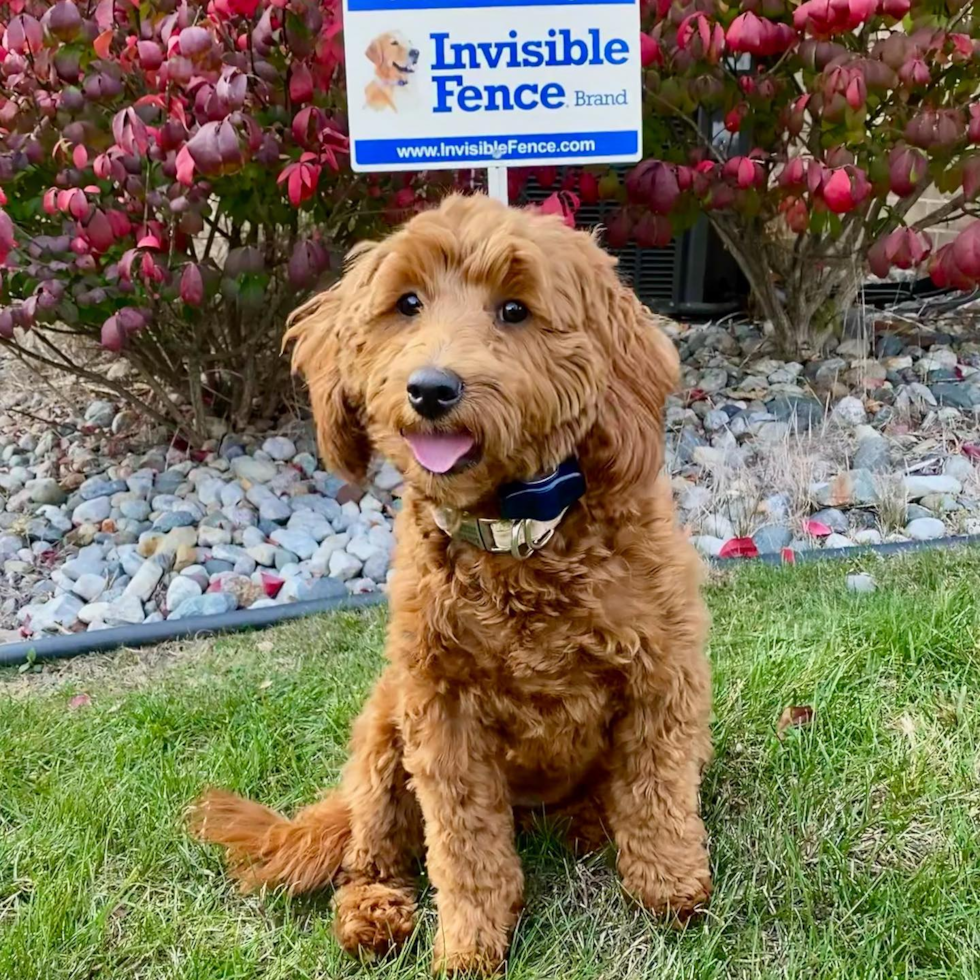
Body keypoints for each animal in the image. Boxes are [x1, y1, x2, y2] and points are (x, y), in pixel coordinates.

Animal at [193, 191, 712, 972]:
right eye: (407, 302)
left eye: (515, 310)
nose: (431, 388)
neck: (517, 535)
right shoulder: (441, 714)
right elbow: (464, 846)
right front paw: (468, 944)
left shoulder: (662, 670)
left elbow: (659, 791)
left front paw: (669, 886)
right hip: (384, 734)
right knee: (368, 856)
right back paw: (373, 915)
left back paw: (592, 821)